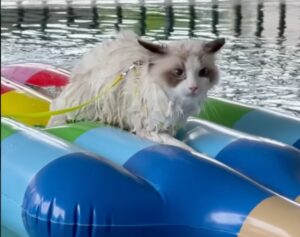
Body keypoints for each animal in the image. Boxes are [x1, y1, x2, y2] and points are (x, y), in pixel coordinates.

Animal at [48, 31, 224, 151]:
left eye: (203, 72)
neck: (175, 101)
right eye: (178, 72)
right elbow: (184, 147)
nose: (194, 87)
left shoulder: (168, 125)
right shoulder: (149, 129)